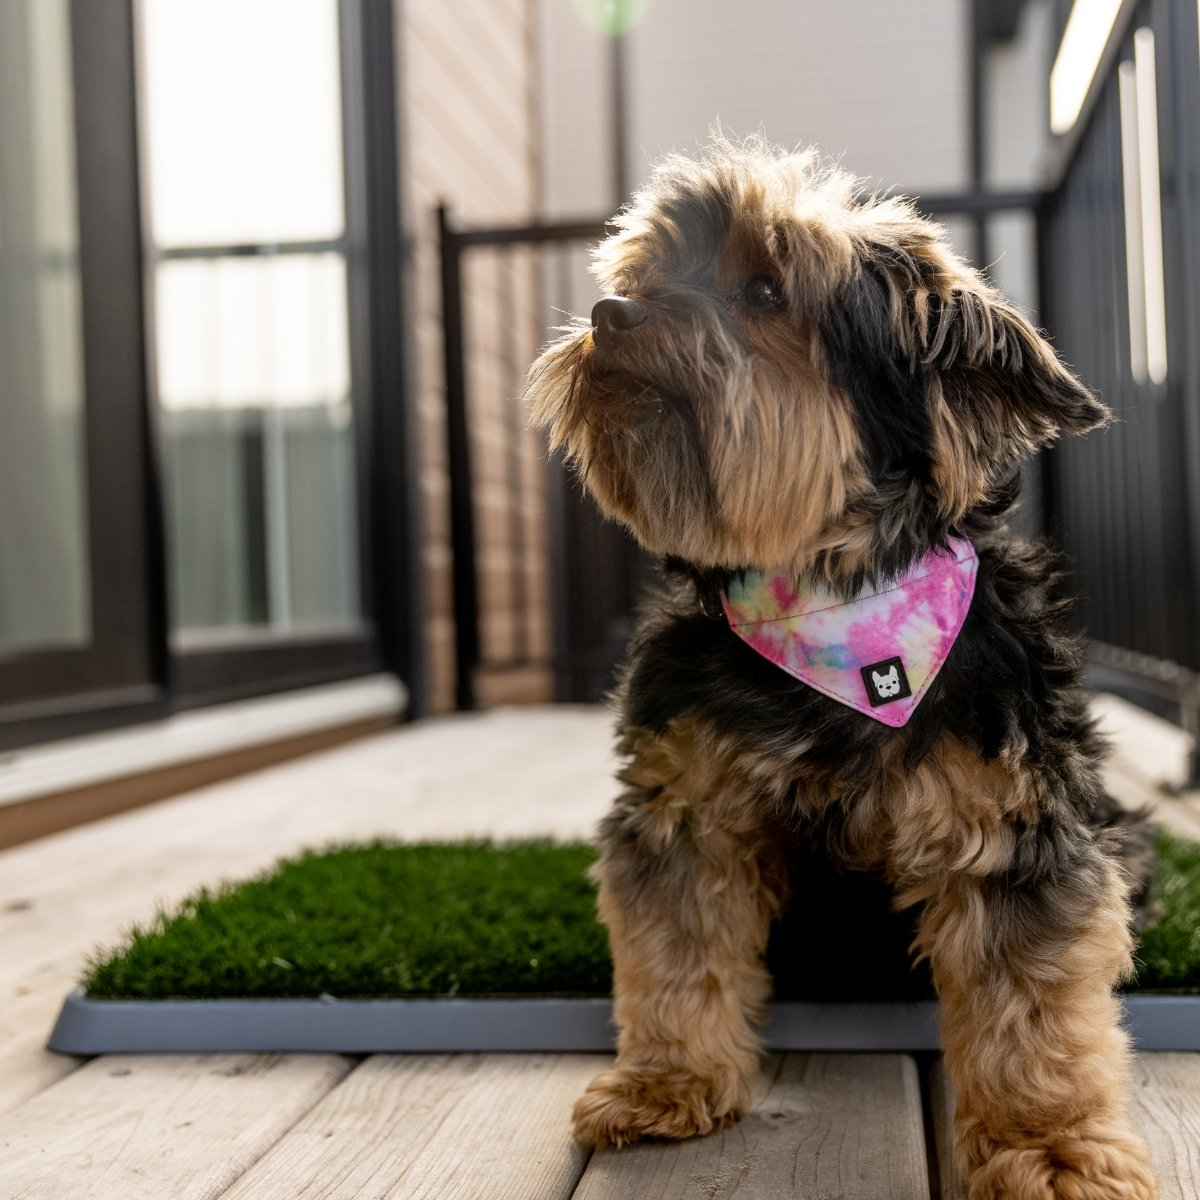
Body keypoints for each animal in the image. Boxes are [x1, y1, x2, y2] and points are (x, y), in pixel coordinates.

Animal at [530, 140, 1156, 1200]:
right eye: (646, 274)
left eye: (764, 288)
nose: (612, 314)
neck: (829, 591)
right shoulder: (685, 809)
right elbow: (677, 947)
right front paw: (668, 1081)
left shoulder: (1013, 826)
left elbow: (1031, 1002)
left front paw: (1050, 1144)